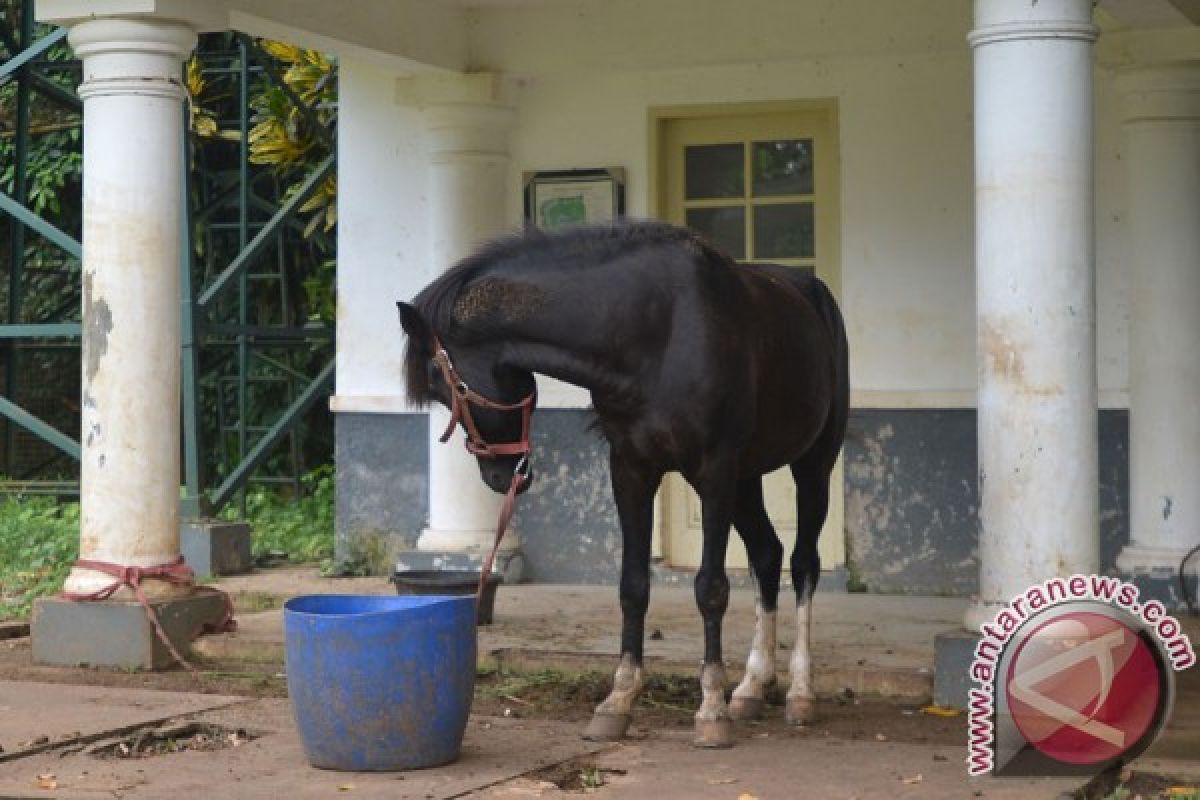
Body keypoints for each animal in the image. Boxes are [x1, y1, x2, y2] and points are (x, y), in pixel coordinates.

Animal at [398, 215, 849, 748]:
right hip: (747, 478)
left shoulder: (714, 471)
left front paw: (710, 710)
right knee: (766, 556)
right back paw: (753, 687)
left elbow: (711, 587)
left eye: (442, 385)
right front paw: (618, 701)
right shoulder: (631, 471)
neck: (656, 333)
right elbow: (633, 586)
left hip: (811, 466)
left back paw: (800, 692)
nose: (498, 475)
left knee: (802, 564)